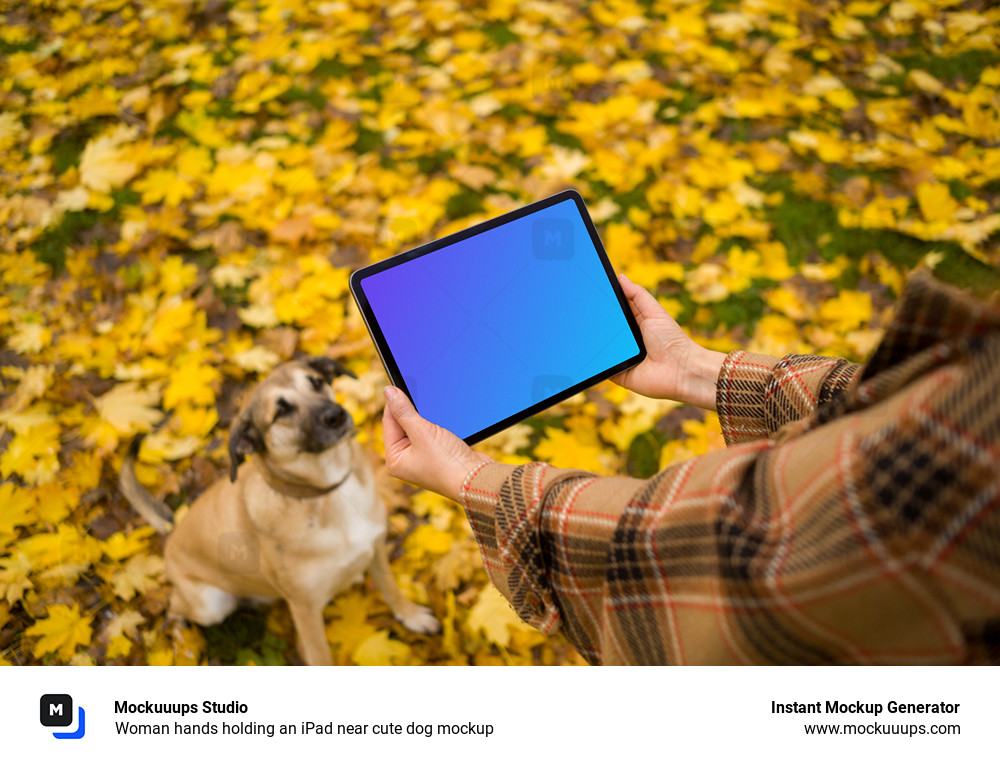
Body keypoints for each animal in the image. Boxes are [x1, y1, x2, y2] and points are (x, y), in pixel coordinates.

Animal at [119, 356, 440, 664]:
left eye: (317, 382)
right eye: (281, 411)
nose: (335, 416)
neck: (328, 493)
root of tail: (173, 530)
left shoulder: (375, 548)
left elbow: (391, 588)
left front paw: (410, 615)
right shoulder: (305, 609)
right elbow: (321, 657)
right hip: (210, 605)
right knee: (175, 609)